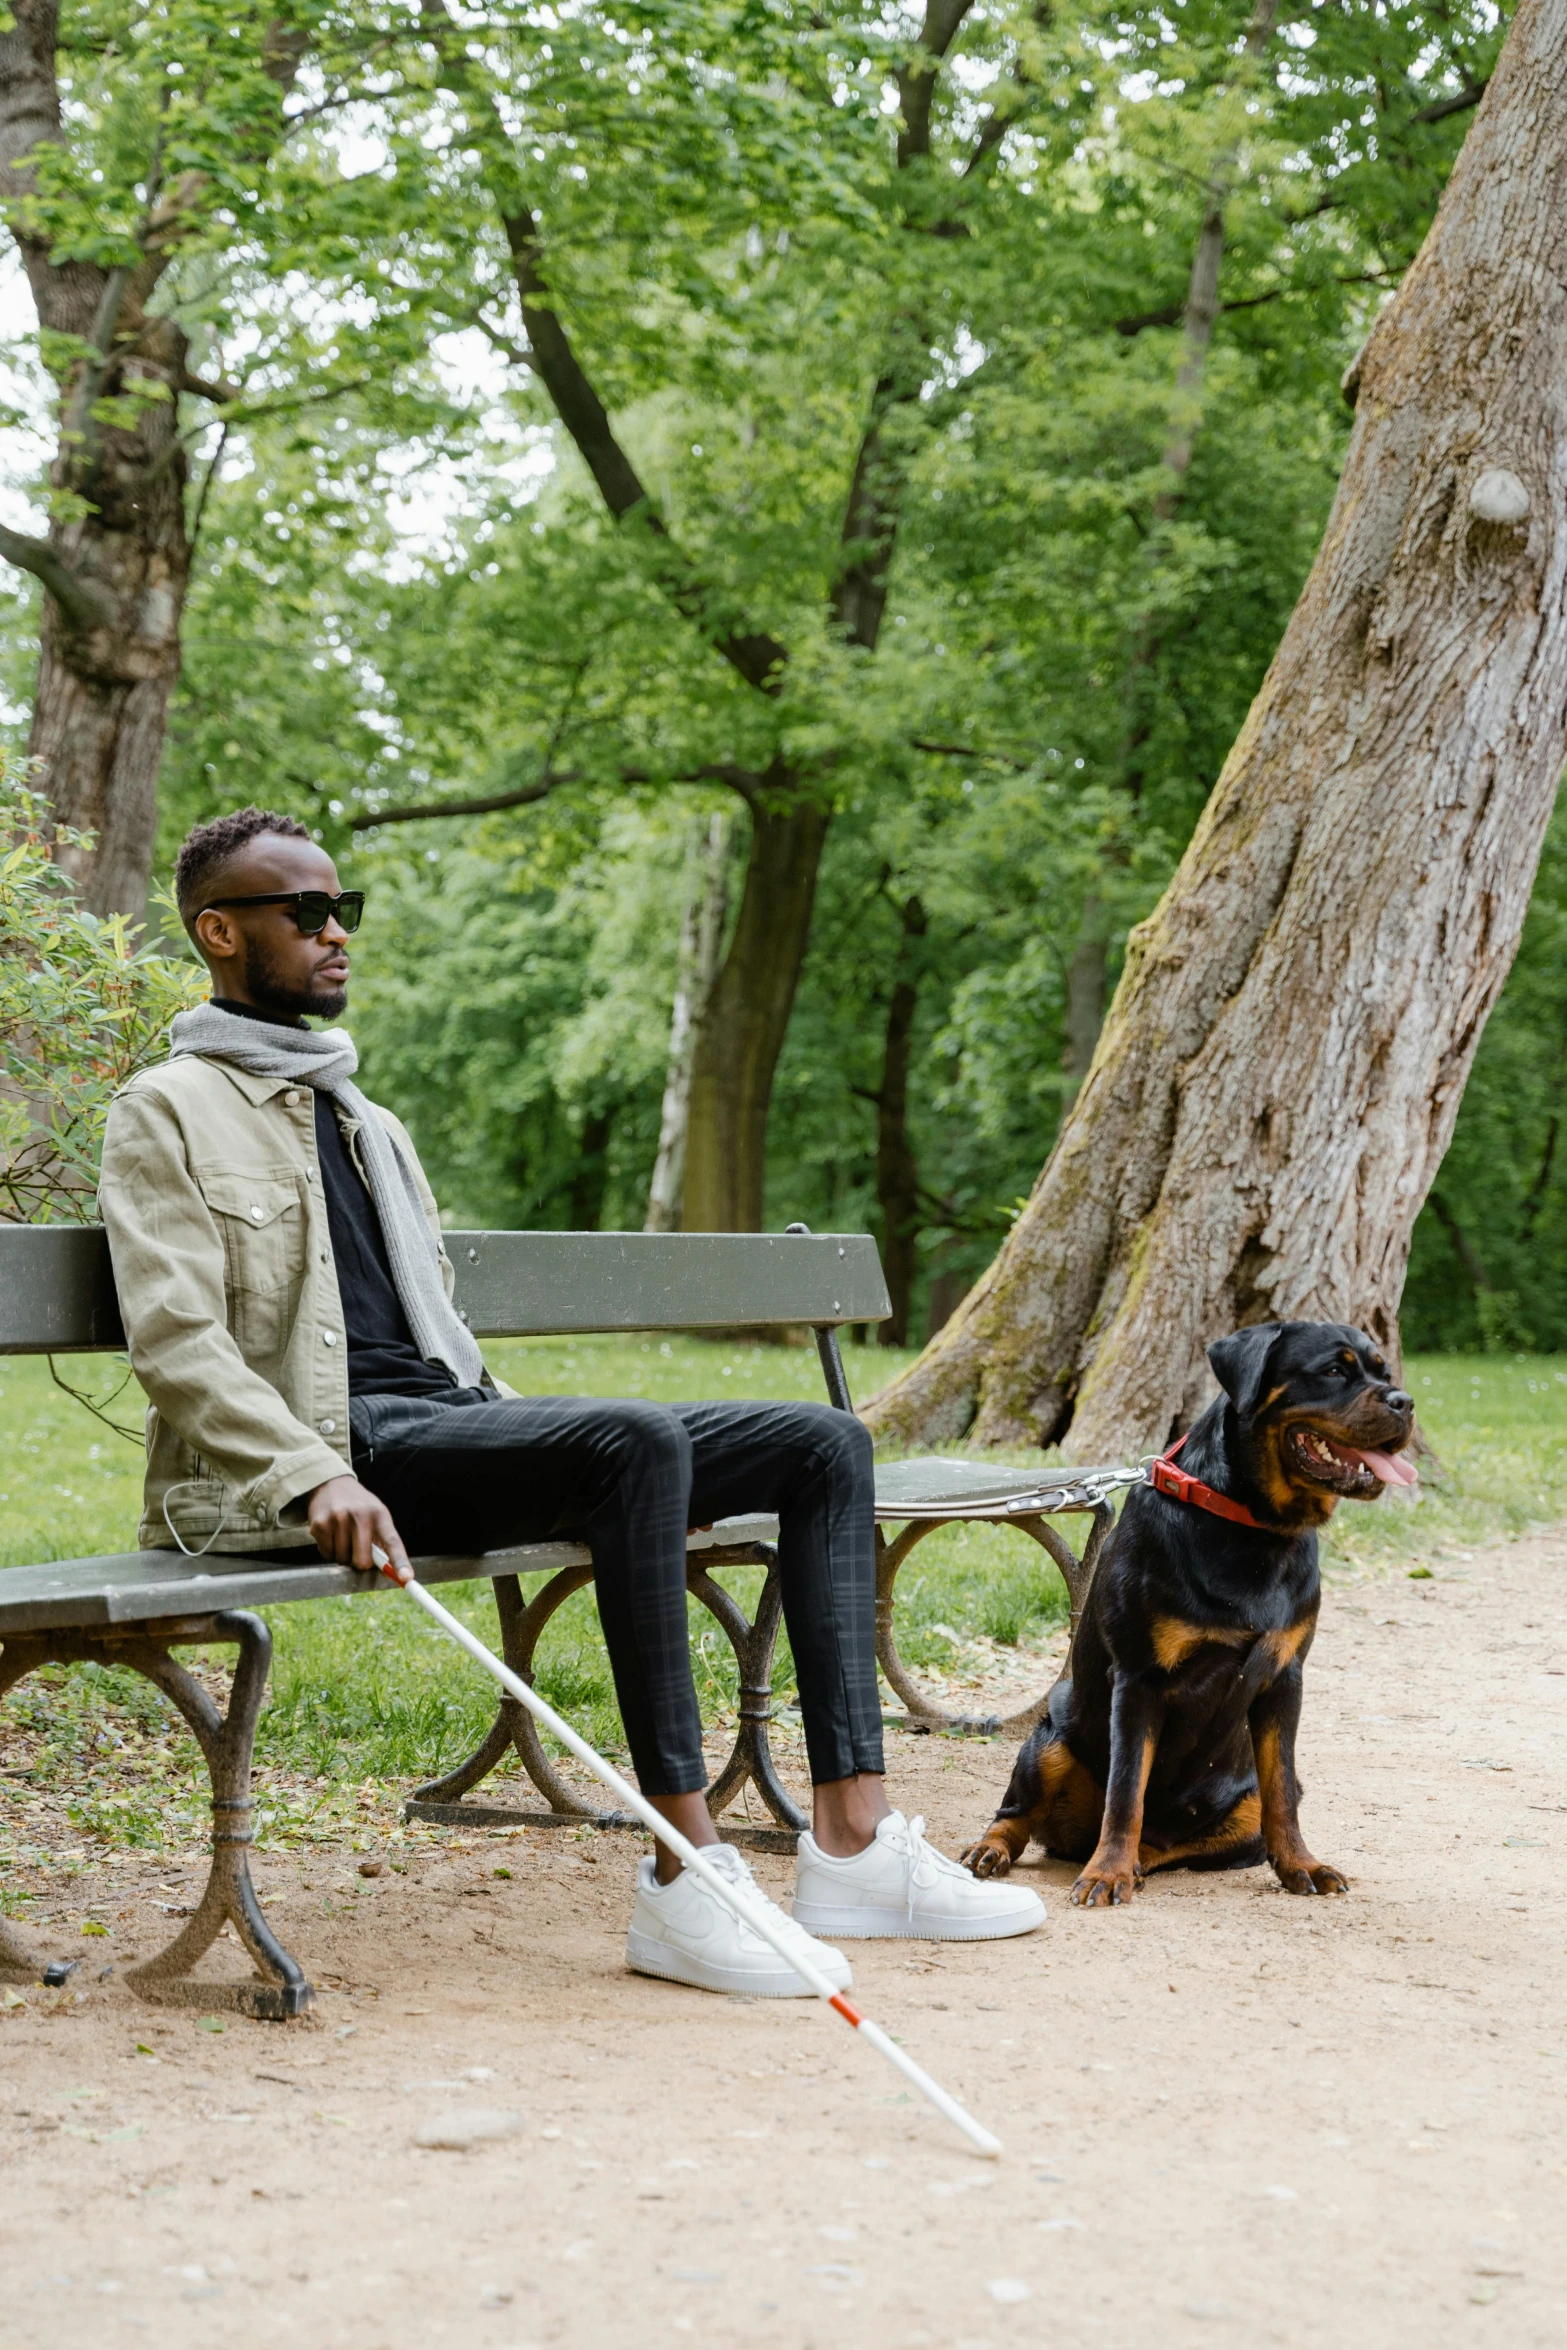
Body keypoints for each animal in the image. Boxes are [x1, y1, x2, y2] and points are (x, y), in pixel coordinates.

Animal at [963, 1334, 1418, 1898]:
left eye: (1384, 1372)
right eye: (1334, 1370)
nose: (1404, 1402)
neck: (1253, 1529)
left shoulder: (1285, 1678)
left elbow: (1282, 1794)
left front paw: (1302, 1866)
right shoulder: (1139, 1678)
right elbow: (1126, 1789)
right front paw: (1106, 1871)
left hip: (1240, 1803)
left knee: (1183, 1840)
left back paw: (1140, 1860)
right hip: (1049, 1740)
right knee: (1019, 1815)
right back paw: (998, 1849)